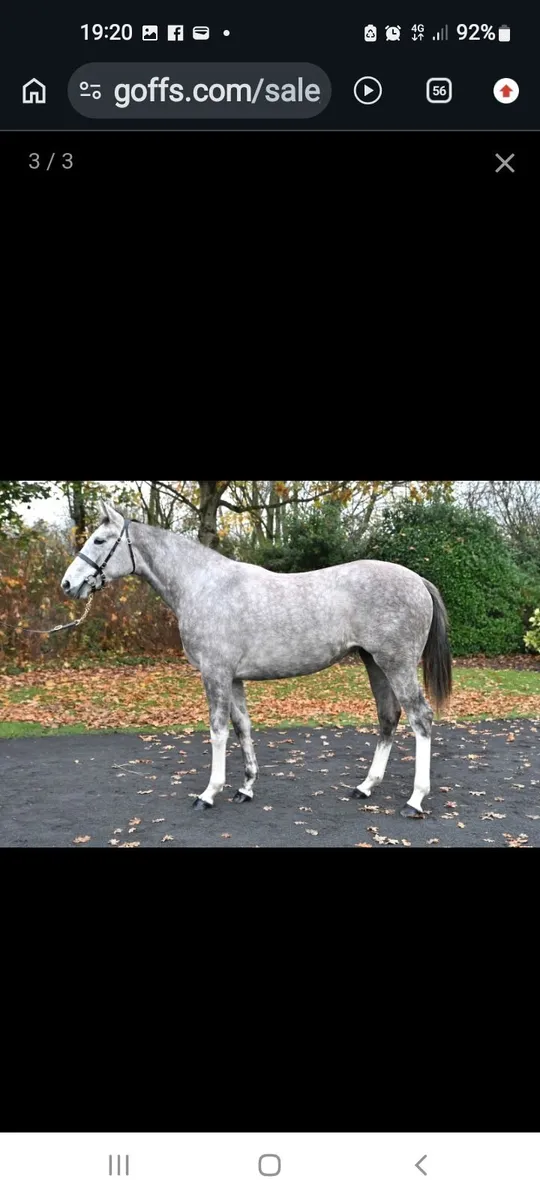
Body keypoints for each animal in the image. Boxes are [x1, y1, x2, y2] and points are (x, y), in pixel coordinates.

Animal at [61, 500, 452, 819]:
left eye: (99, 541)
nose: (67, 584)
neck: (203, 586)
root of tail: (418, 580)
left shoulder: (215, 674)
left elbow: (217, 730)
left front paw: (209, 793)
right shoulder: (234, 678)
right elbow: (242, 727)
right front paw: (245, 788)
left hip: (397, 664)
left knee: (420, 718)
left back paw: (415, 800)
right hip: (375, 663)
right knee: (389, 717)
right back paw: (365, 787)